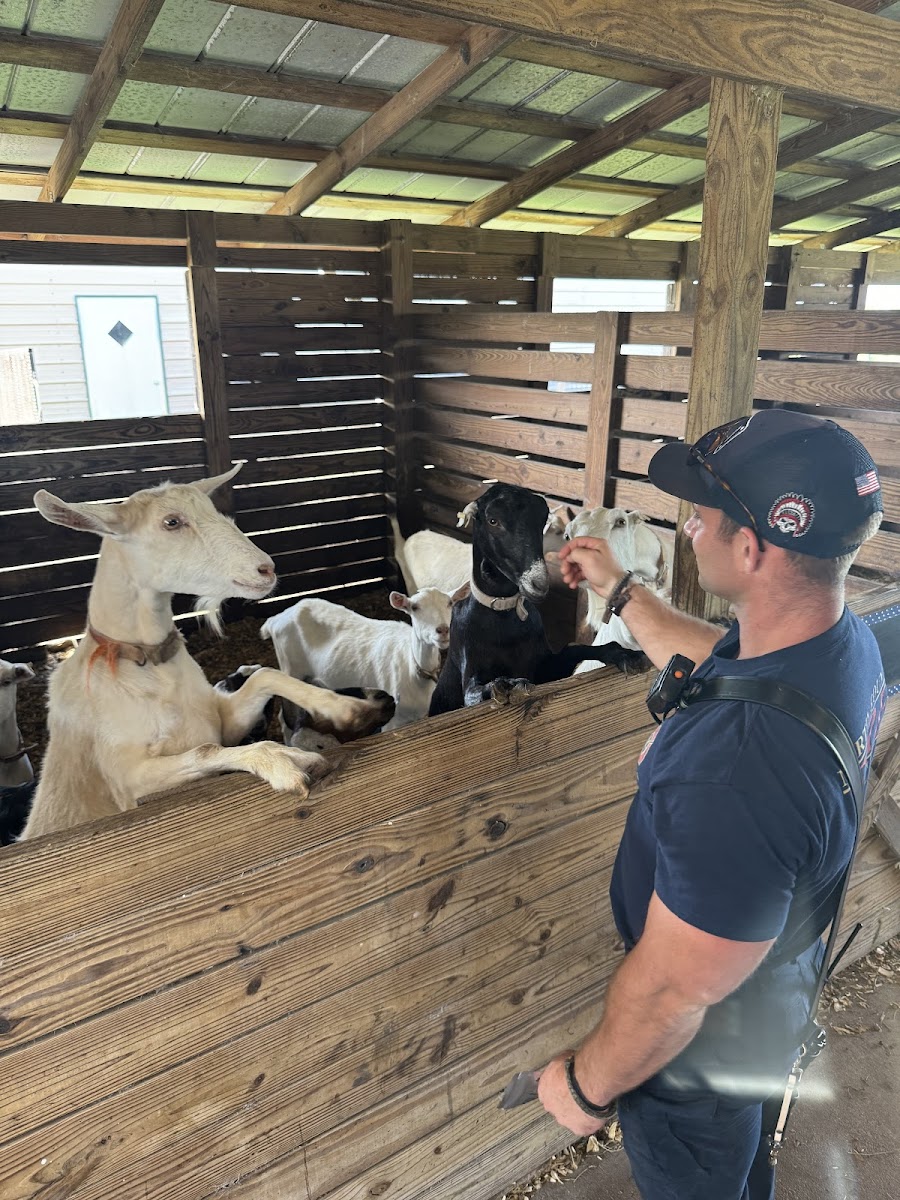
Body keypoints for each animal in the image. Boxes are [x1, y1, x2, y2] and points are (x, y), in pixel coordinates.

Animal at [20, 466, 394, 841]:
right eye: (171, 522)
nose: (266, 569)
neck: (147, 663)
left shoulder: (223, 723)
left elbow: (265, 676)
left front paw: (349, 709)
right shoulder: (127, 780)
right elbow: (205, 749)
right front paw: (282, 760)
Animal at [261, 588, 451, 730]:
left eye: (450, 603)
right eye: (414, 607)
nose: (442, 630)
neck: (413, 669)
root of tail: (275, 619)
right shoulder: (393, 720)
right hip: (290, 668)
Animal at [428, 484, 630, 715]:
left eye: (541, 520)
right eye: (492, 520)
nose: (539, 584)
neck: (502, 616)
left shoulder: (545, 667)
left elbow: (573, 649)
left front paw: (624, 654)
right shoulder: (469, 664)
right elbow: (473, 692)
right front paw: (506, 685)